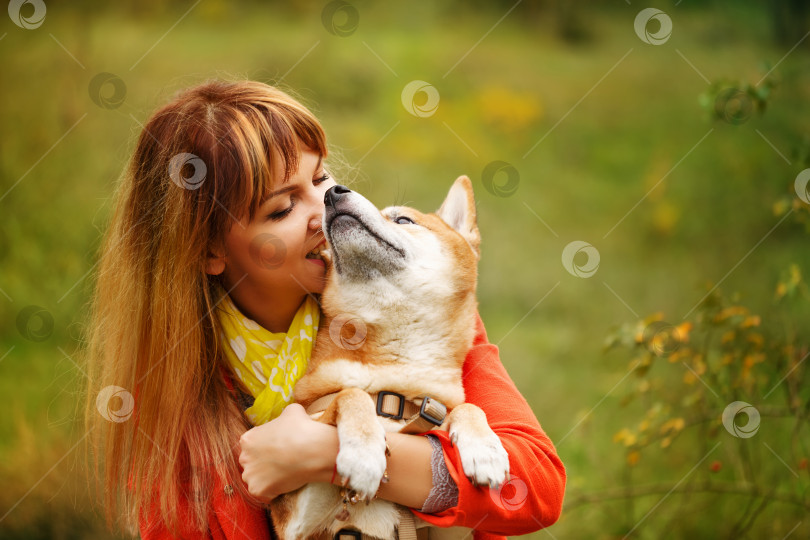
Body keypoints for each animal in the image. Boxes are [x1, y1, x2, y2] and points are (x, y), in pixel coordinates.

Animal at [272, 177, 512, 540]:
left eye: (403, 219)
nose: (332, 193)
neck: (395, 393)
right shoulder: (296, 517)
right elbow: (350, 394)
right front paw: (363, 454)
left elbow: (467, 408)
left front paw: (485, 450)